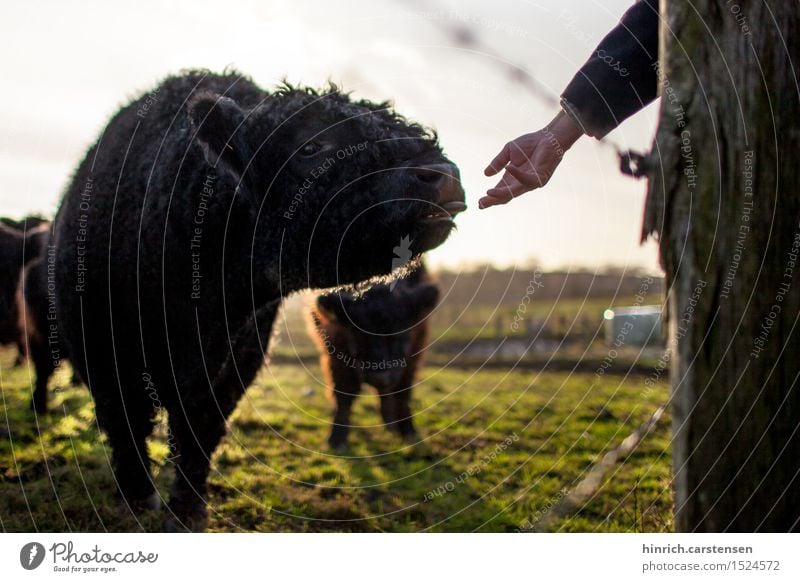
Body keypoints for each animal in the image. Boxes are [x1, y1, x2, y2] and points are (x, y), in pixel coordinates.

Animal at [310, 264, 438, 452]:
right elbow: (344, 393)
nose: (381, 376)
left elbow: (403, 392)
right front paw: (336, 439)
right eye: (358, 335)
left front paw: (408, 432)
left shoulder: (415, 352)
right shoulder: (336, 349)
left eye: (402, 334)